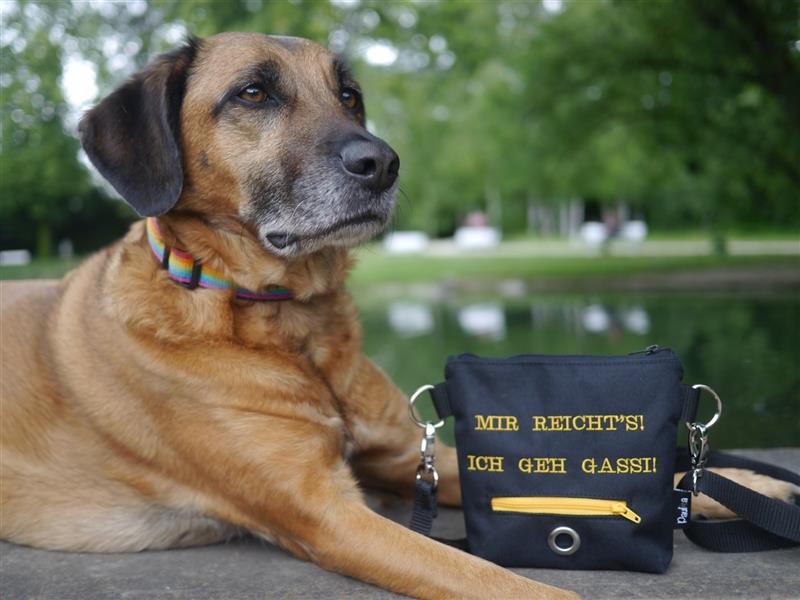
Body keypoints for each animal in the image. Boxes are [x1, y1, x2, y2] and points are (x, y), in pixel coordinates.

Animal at [1, 34, 792, 600]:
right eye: (252, 92)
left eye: (350, 96)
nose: (382, 163)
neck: (288, 322)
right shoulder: (326, 512)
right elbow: (501, 582)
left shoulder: (405, 455)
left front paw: (752, 486)